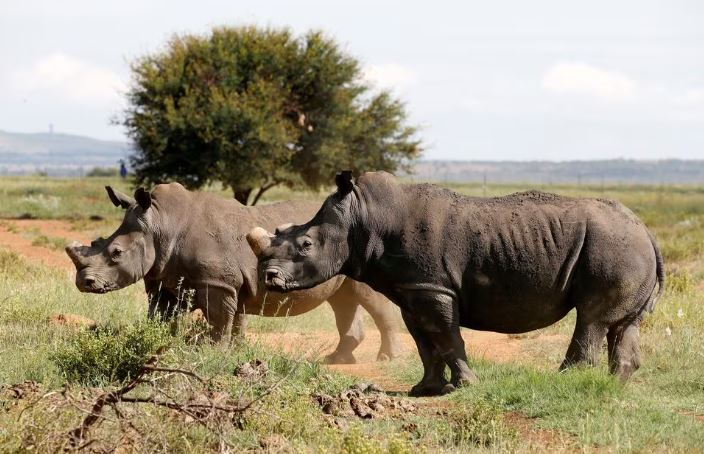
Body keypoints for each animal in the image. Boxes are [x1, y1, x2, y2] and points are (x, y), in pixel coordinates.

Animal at [65, 183, 401, 363]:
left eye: (116, 253)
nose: (84, 282)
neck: (162, 224)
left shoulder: (218, 283)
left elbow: (220, 320)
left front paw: (214, 352)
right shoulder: (168, 279)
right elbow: (166, 316)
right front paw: (161, 346)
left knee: (368, 298)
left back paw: (387, 358)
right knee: (342, 298)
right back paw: (336, 360)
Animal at [248, 171, 665, 396]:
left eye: (305, 245)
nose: (269, 277)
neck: (363, 218)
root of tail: (647, 230)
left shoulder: (432, 287)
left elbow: (448, 337)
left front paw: (466, 386)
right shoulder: (412, 289)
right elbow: (425, 342)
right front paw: (426, 390)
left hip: (613, 246)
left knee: (591, 319)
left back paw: (562, 383)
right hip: (625, 247)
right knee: (622, 323)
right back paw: (614, 387)